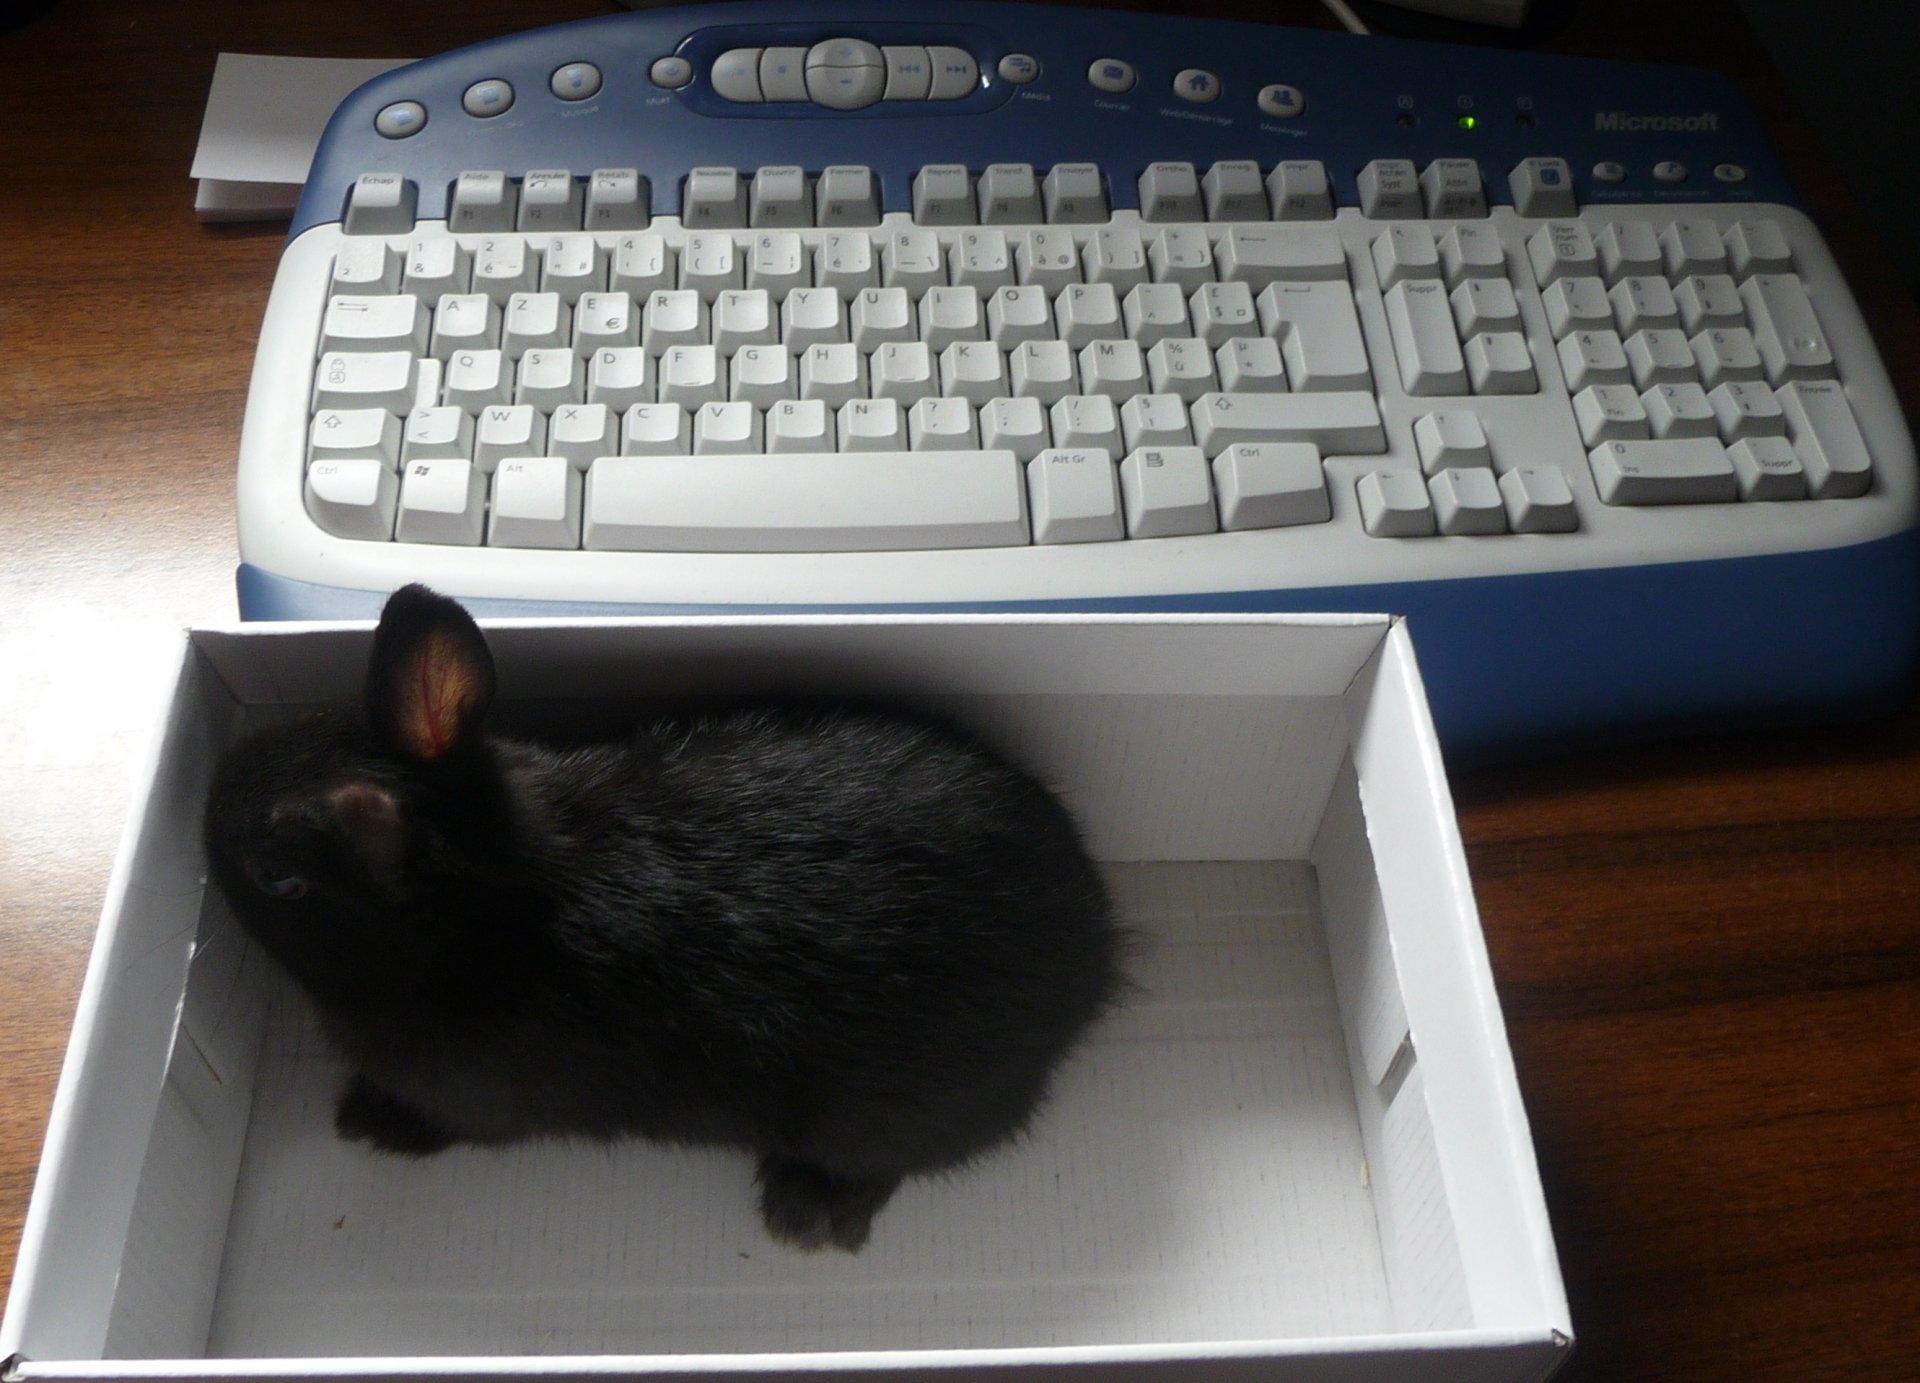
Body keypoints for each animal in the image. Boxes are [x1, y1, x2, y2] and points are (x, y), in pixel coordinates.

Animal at [202, 585, 1126, 1252]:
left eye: (279, 878)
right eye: (311, 720)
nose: (204, 800)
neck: (479, 903)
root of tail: (1095, 956)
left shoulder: (472, 1102)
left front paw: (364, 1120)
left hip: (874, 1117)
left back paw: (805, 1213)